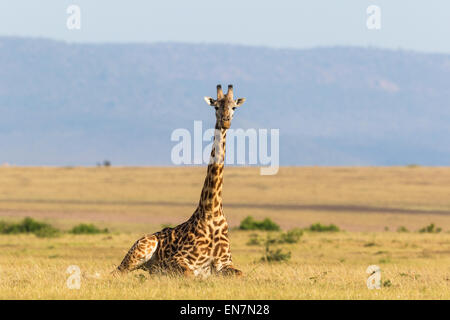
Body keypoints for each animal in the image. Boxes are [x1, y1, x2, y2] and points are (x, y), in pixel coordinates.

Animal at [113, 85, 246, 278]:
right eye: (215, 106)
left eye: (234, 107)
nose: (225, 121)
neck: (212, 212)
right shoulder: (177, 260)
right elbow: (189, 274)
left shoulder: (225, 263)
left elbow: (240, 274)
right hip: (139, 251)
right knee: (116, 272)